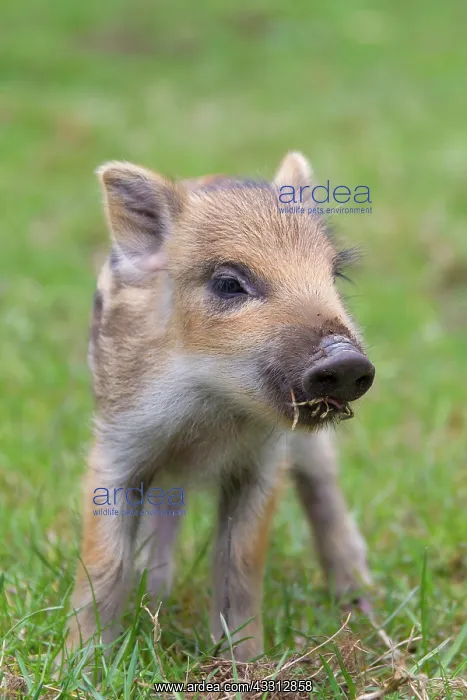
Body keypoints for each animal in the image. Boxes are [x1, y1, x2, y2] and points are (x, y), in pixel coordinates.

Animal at [67, 152, 375, 663]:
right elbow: (105, 560)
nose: (346, 360)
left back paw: (364, 602)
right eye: (229, 283)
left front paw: (243, 662)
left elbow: (239, 561)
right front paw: (80, 663)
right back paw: (156, 597)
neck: (209, 409)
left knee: (322, 488)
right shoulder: (118, 446)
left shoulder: (263, 462)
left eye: (333, 274)